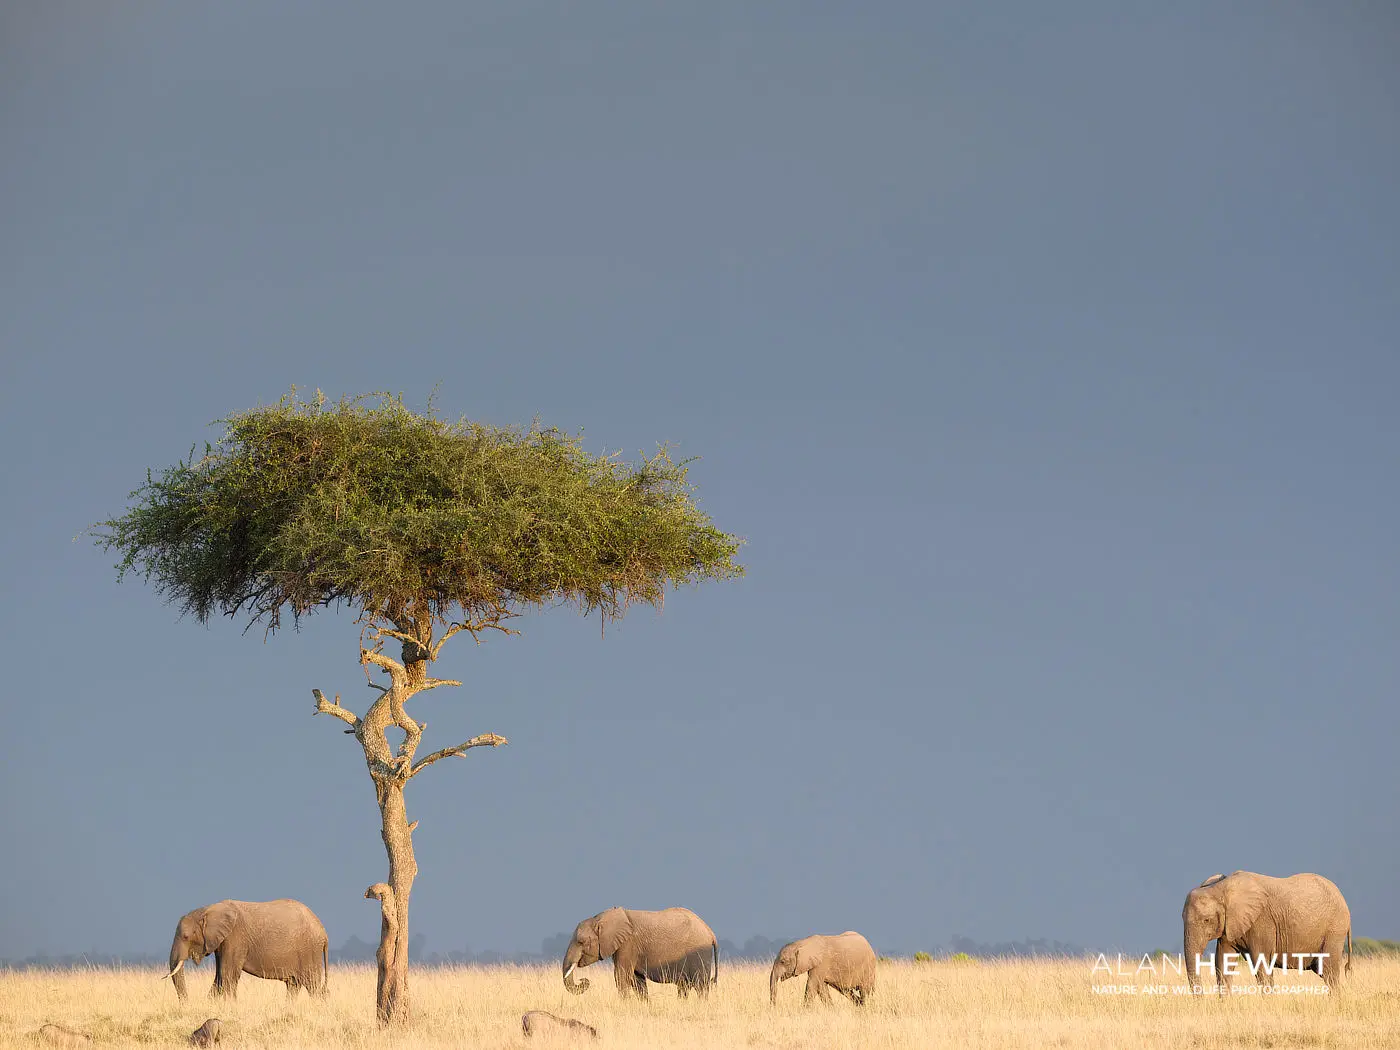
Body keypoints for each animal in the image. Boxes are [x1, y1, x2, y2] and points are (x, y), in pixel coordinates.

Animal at [164, 899, 329, 1001]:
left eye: (185, 937)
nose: (186, 1003)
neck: (207, 910)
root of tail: (324, 933)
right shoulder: (222, 942)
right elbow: (219, 976)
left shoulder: (235, 938)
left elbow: (227, 974)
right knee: (293, 985)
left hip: (309, 951)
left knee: (313, 986)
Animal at [561, 906, 718, 999]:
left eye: (581, 942)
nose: (583, 980)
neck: (601, 918)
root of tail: (710, 932)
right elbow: (637, 980)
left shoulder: (628, 944)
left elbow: (622, 975)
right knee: (684, 986)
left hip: (699, 953)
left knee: (701, 985)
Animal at [1182, 872, 1352, 995]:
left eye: (1206, 920)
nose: (1202, 1000)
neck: (1219, 888)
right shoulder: (1229, 926)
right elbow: (1223, 963)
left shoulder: (1262, 922)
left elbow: (1261, 963)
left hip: (1334, 930)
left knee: (1329, 972)